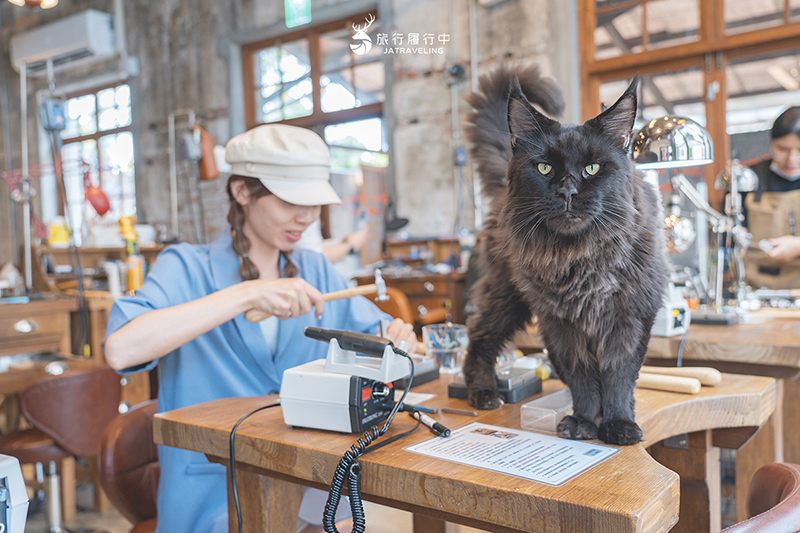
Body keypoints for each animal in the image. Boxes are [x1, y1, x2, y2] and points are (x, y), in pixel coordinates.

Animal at [460, 64, 672, 444]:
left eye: (593, 168)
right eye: (544, 168)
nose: (568, 192)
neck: (580, 257)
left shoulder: (629, 318)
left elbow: (618, 377)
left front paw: (619, 423)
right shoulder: (560, 324)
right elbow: (582, 378)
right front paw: (584, 421)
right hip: (505, 297)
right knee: (480, 338)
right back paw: (483, 392)